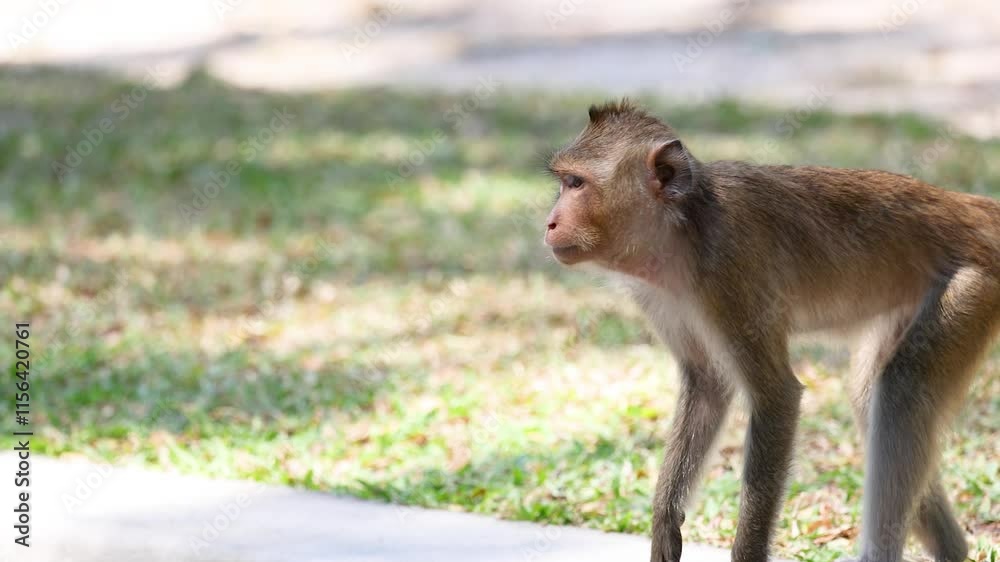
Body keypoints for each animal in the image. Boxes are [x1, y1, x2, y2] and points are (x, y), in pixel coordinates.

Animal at [542, 100, 1000, 562]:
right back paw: (953, 547)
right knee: (873, 396)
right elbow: (707, 386)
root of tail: (971, 207)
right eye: (564, 183)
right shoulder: (658, 295)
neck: (683, 229)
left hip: (975, 284)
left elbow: (777, 396)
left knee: (901, 394)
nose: (549, 222)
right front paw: (665, 524)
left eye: (576, 183)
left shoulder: (731, 271)